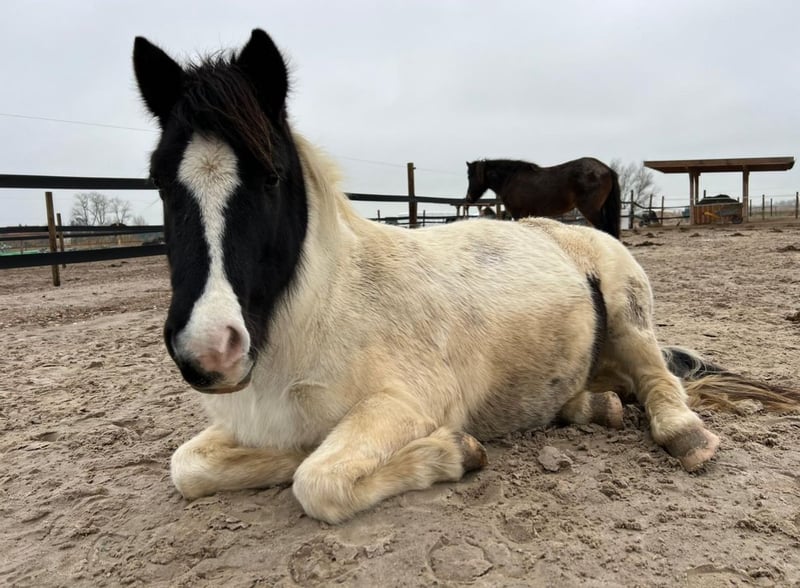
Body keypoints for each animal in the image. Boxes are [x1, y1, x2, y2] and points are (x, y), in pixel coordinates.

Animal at [465, 158, 622, 238]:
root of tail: (607, 169)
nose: (468, 198)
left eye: (470, 176)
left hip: (590, 210)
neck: (511, 179)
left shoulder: (518, 214)